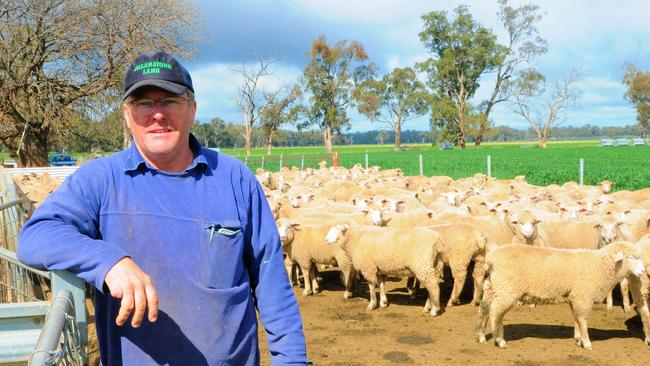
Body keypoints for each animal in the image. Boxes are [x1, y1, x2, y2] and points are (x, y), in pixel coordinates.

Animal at [474, 242, 644, 350]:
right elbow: (582, 319)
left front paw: (578, 339)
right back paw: (500, 340)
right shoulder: (583, 296)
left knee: (484, 308)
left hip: (493, 286)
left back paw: (481, 335)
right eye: (630, 257)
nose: (643, 271)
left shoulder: (575, 297)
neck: (601, 266)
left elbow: (576, 318)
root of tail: (491, 257)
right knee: (495, 312)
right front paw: (586, 342)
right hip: (507, 289)